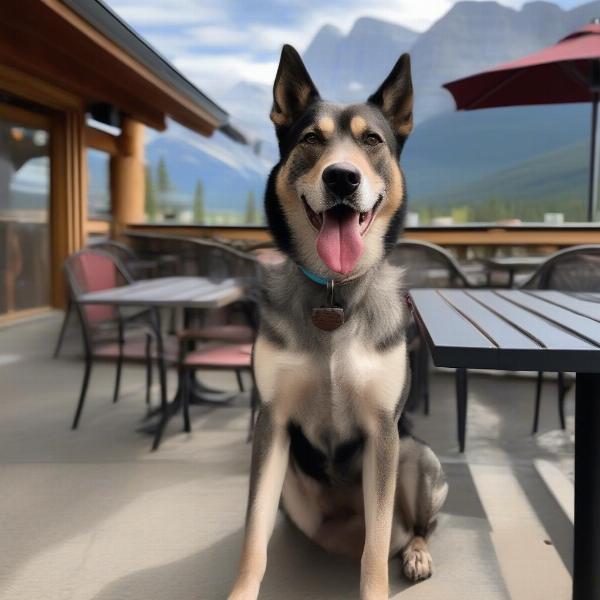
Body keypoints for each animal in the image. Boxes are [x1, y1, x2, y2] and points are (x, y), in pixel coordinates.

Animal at [227, 45, 448, 600]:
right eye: (311, 139)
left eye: (372, 140)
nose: (342, 177)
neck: (333, 292)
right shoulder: (272, 425)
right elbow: (253, 537)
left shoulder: (384, 433)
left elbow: (375, 552)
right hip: (293, 487)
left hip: (418, 457)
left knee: (410, 528)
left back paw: (415, 552)